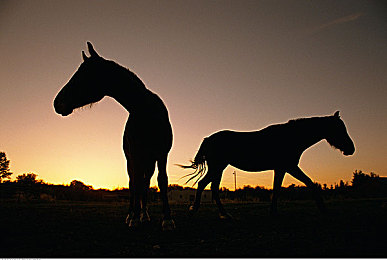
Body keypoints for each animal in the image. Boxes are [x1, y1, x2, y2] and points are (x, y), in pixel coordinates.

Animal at [53, 43, 175, 232]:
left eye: (82, 76)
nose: (57, 103)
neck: (146, 112)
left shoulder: (162, 154)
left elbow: (162, 181)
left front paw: (167, 220)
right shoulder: (135, 156)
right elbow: (135, 184)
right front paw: (134, 218)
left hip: (149, 161)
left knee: (145, 183)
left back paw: (144, 215)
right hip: (132, 160)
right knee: (134, 183)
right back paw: (134, 215)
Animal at [182, 112, 354, 219]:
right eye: (339, 129)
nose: (351, 149)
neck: (291, 137)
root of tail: (209, 138)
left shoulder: (281, 168)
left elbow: (277, 188)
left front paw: (273, 212)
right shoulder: (290, 167)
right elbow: (310, 183)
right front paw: (323, 209)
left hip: (219, 168)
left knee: (211, 187)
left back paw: (222, 214)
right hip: (218, 167)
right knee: (205, 185)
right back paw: (197, 211)